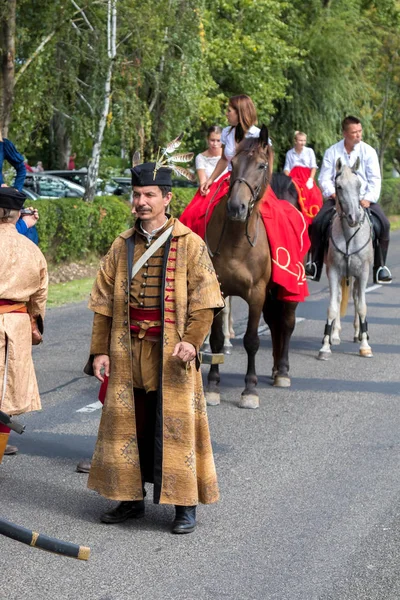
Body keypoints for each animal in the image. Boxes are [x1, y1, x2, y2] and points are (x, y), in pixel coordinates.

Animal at [206, 125, 300, 408]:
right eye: (232, 164)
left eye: (261, 165)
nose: (236, 207)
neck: (237, 242)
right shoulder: (219, 291)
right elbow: (216, 339)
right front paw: (213, 385)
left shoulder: (257, 293)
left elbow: (252, 340)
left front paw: (249, 390)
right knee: (275, 322)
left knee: (287, 323)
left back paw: (282, 372)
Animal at [318, 157, 374, 358]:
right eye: (339, 186)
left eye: (359, 185)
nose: (354, 217)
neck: (350, 235)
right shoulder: (334, 272)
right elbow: (333, 307)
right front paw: (325, 346)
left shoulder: (363, 273)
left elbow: (362, 306)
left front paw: (365, 345)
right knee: (340, 298)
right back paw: (335, 335)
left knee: (357, 299)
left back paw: (359, 333)